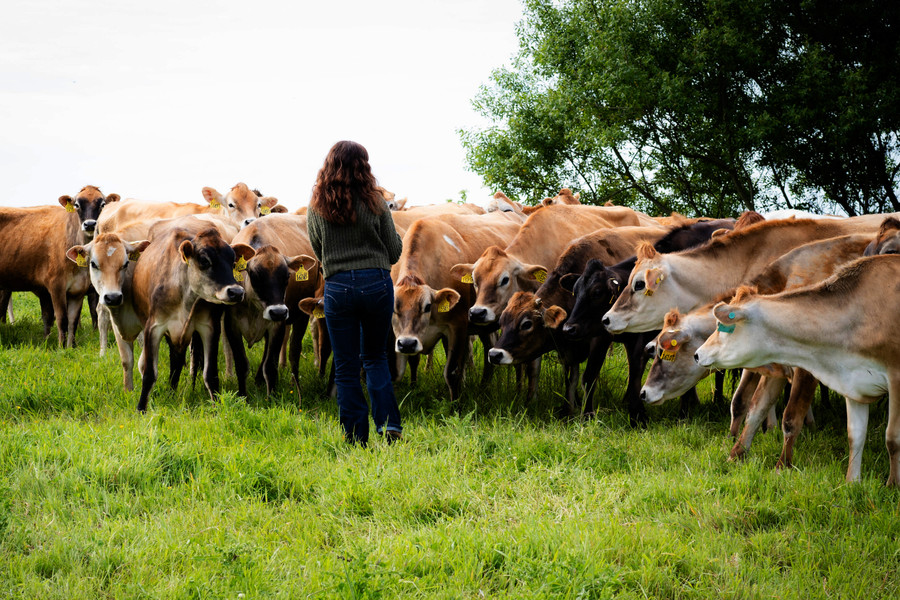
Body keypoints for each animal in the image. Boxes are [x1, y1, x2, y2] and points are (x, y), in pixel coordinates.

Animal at [0, 188, 119, 346]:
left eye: (102, 204)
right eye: (77, 205)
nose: (89, 225)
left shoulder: (79, 289)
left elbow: (73, 321)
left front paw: (71, 346)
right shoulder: (56, 287)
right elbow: (62, 319)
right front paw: (61, 346)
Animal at [696, 255, 900, 486]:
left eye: (721, 327)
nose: (697, 354)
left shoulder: (896, 378)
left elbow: (893, 438)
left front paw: (893, 484)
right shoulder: (852, 381)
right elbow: (855, 436)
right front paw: (852, 483)